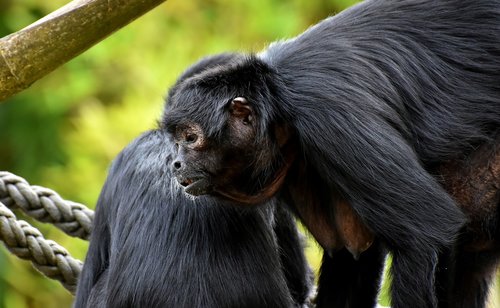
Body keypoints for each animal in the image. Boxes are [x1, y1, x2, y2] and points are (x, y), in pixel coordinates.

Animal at [163, 1, 500, 306]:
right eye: (175, 141)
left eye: (190, 138)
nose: (176, 163)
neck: (279, 97)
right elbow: (351, 250)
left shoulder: (329, 118)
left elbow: (428, 229)